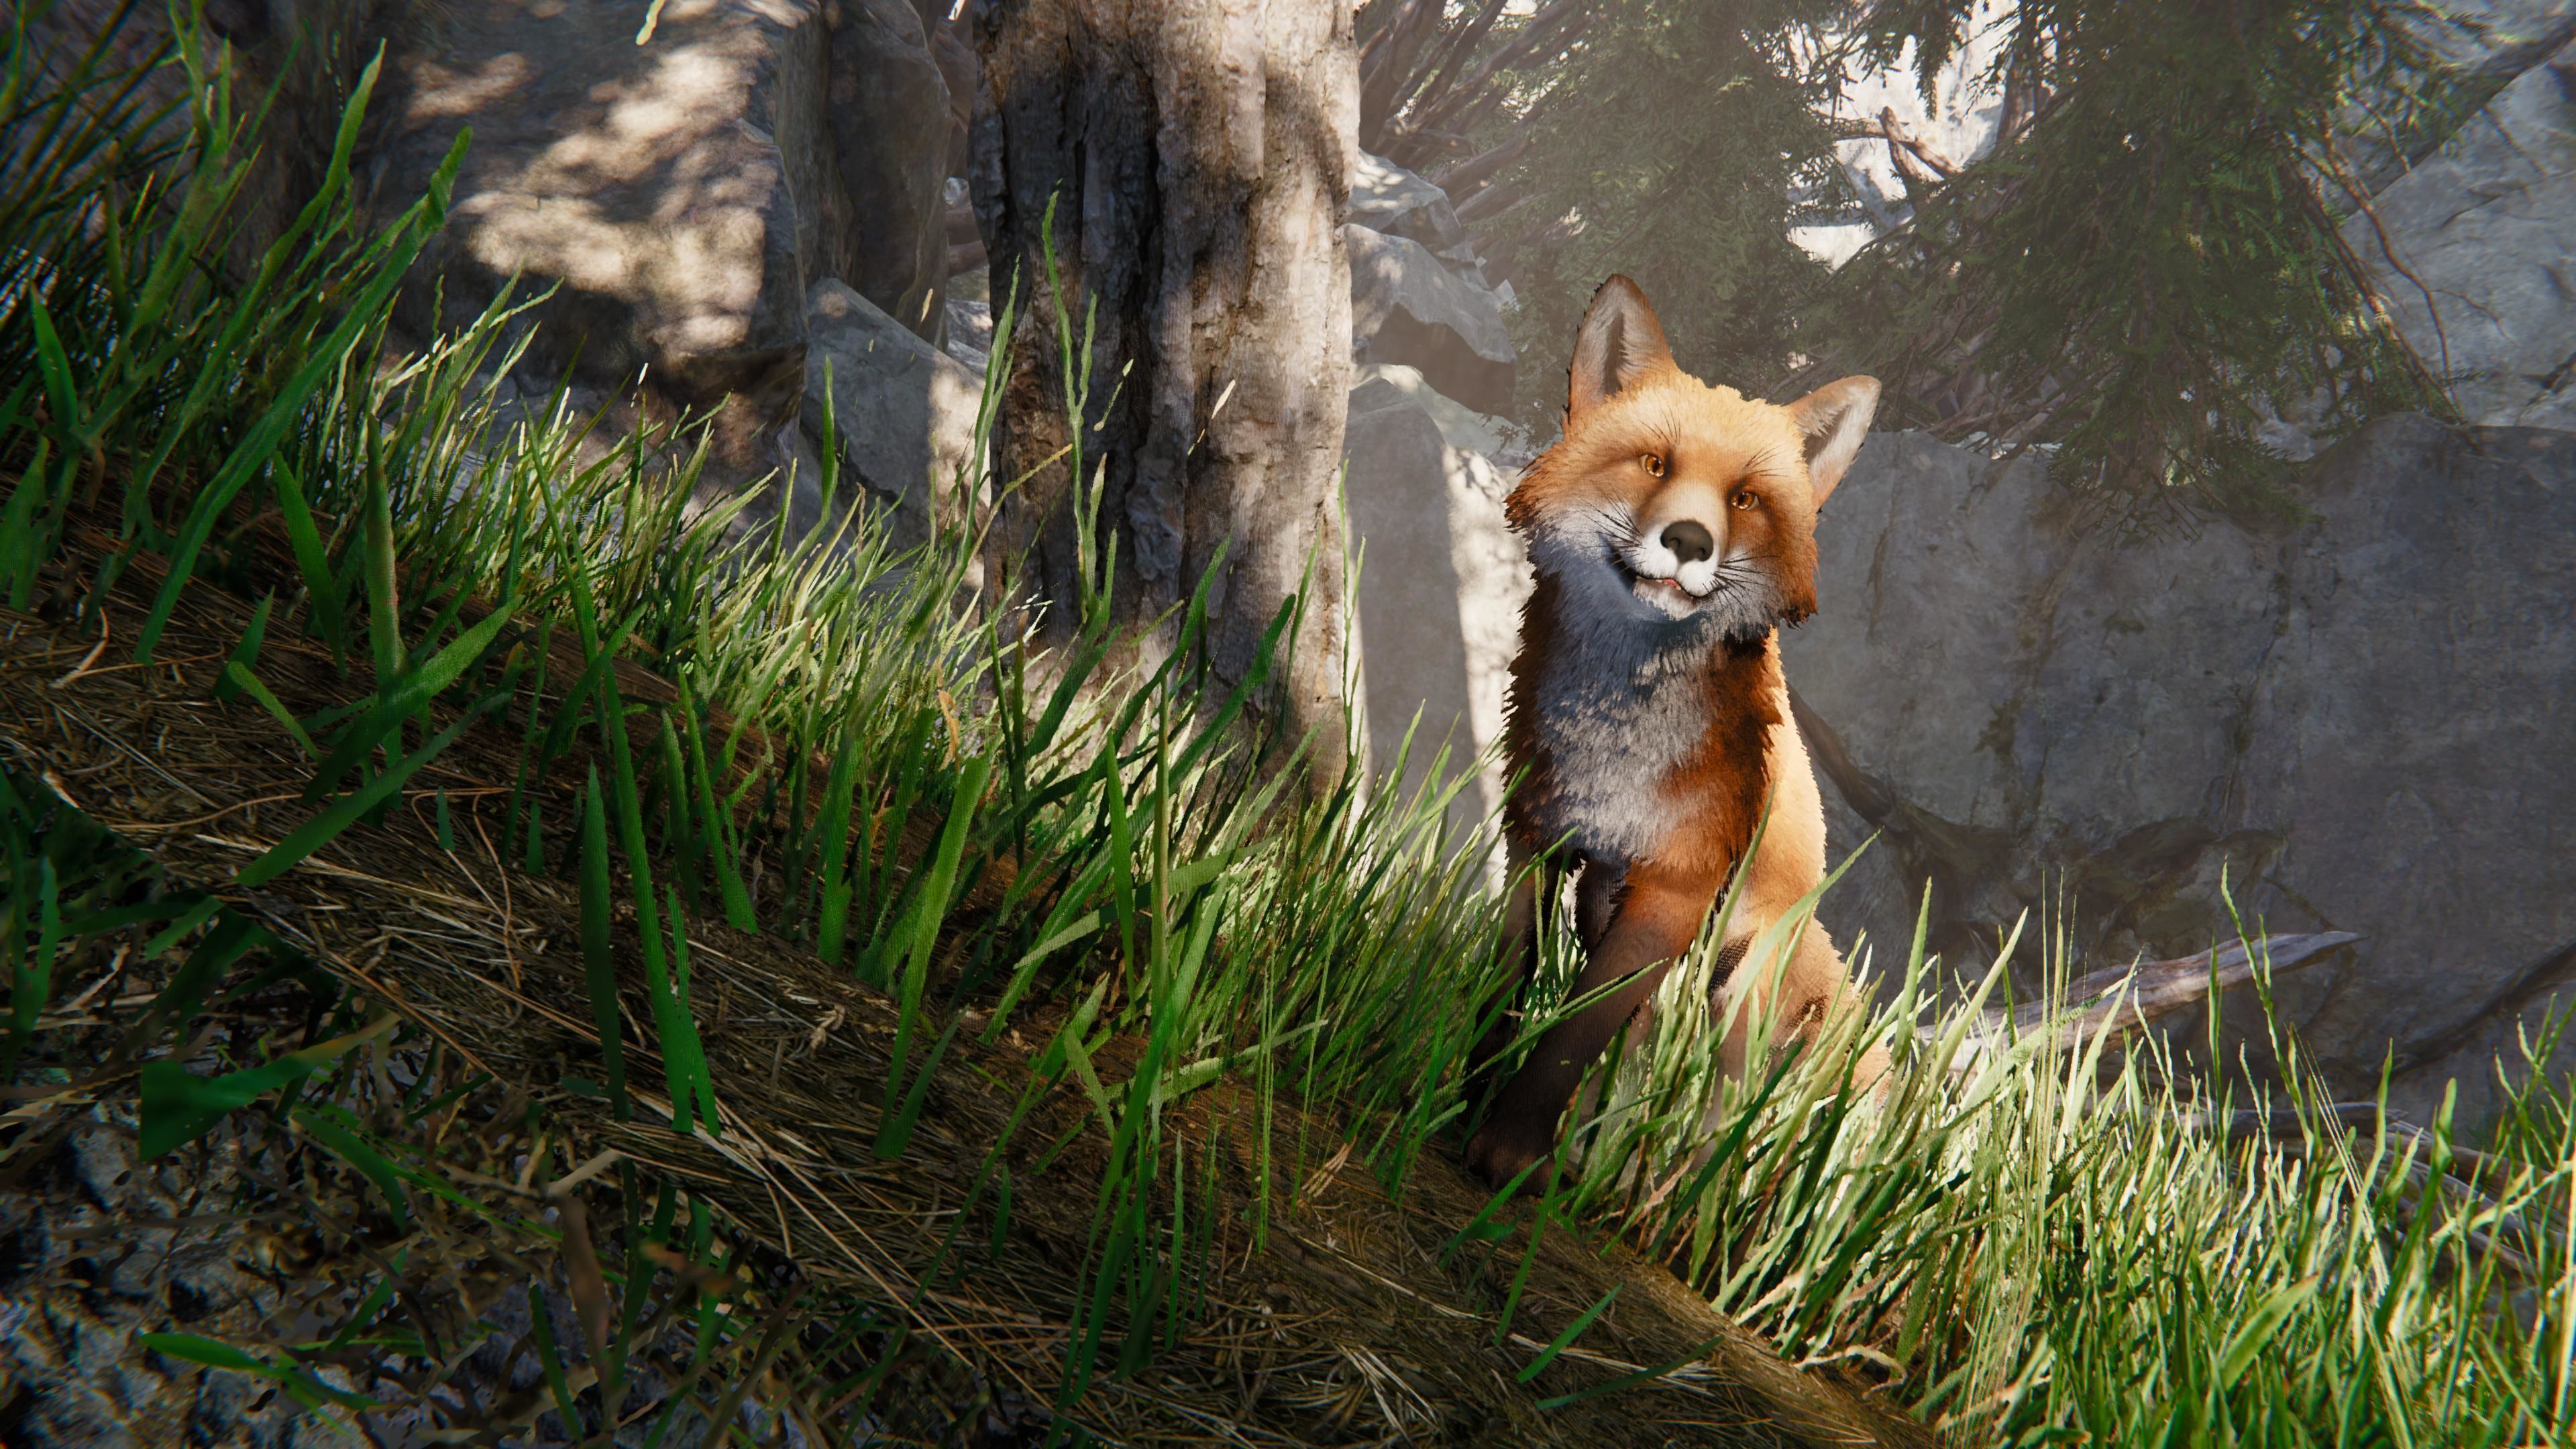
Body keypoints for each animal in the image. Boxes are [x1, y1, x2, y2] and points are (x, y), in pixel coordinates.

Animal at [1463, 274, 1890, 1194]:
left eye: (1745, 499)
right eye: (1655, 464)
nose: (1688, 540)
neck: (1613, 752)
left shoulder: (1676, 884)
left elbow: (1571, 1037)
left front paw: (1512, 1153)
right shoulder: (1537, 842)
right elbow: (1508, 986)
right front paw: (1462, 1098)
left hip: (1740, 998)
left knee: (1712, 1115)